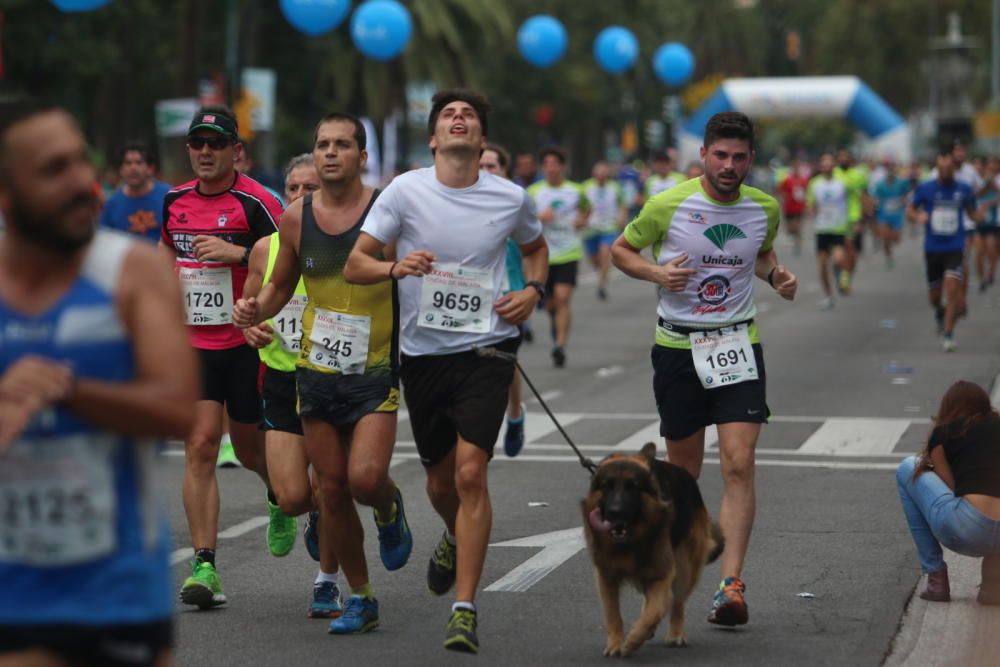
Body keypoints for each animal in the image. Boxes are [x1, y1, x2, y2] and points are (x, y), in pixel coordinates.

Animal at [584, 444, 724, 656]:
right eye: (607, 486)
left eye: (632, 487)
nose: (615, 512)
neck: (630, 540)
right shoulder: (606, 576)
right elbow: (612, 613)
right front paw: (615, 644)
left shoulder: (662, 574)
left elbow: (655, 611)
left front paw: (634, 639)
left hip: (684, 568)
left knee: (677, 604)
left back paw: (675, 634)